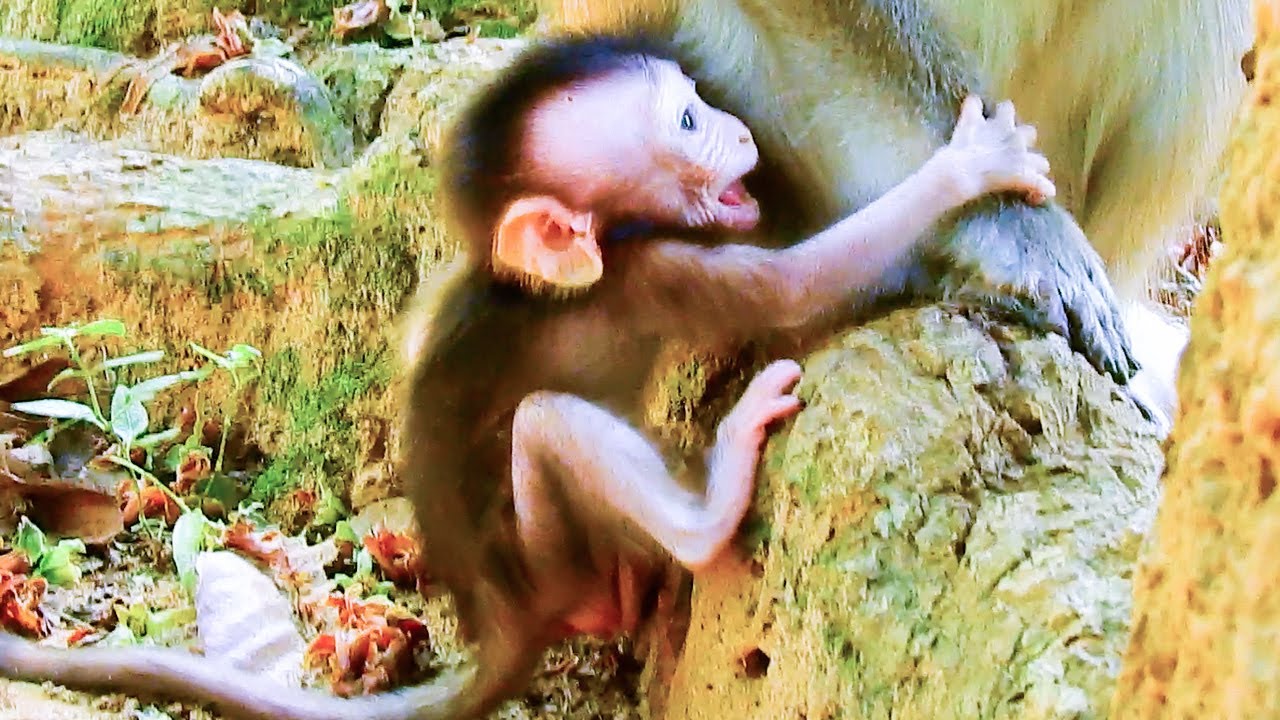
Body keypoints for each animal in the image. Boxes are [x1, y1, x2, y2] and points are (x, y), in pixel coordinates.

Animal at [0, 35, 1055, 720]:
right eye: (688, 121)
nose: (745, 134)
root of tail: (503, 619)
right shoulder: (658, 268)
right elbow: (800, 282)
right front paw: (969, 170)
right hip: (553, 558)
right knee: (552, 424)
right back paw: (704, 518)